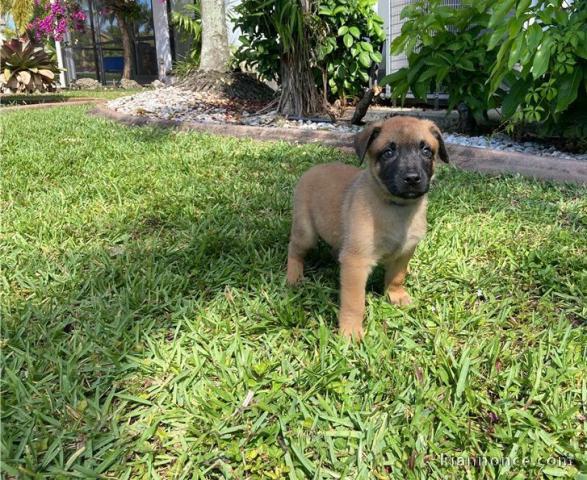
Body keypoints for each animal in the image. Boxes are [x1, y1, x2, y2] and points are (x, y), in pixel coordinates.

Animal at [288, 116, 448, 340]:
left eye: (426, 151)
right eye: (388, 152)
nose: (412, 178)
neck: (395, 207)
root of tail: (313, 169)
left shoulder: (405, 251)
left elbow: (397, 276)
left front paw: (396, 295)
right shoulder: (357, 261)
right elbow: (354, 302)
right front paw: (351, 331)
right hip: (306, 233)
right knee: (295, 250)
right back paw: (293, 276)